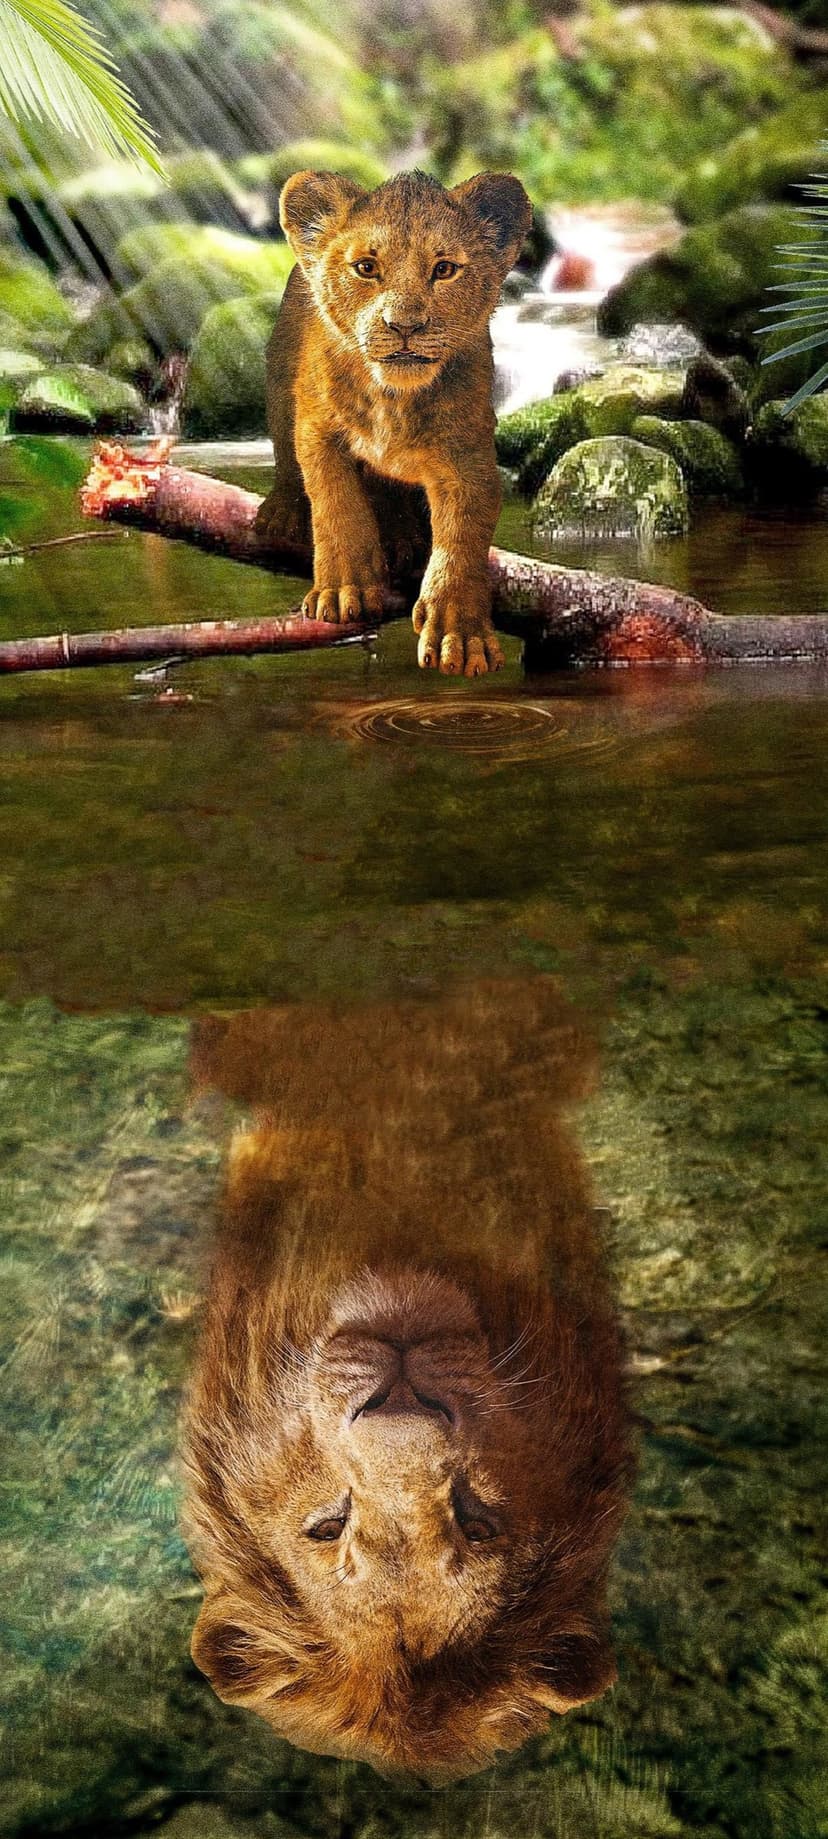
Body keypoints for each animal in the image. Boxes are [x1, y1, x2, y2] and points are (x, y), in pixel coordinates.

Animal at [256, 167, 532, 676]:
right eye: (366, 267)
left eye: (444, 269)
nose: (405, 325)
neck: (393, 399)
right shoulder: (317, 429)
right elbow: (336, 504)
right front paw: (343, 590)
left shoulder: (468, 455)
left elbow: (462, 538)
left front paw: (459, 634)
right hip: (280, 378)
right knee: (286, 458)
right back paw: (282, 513)